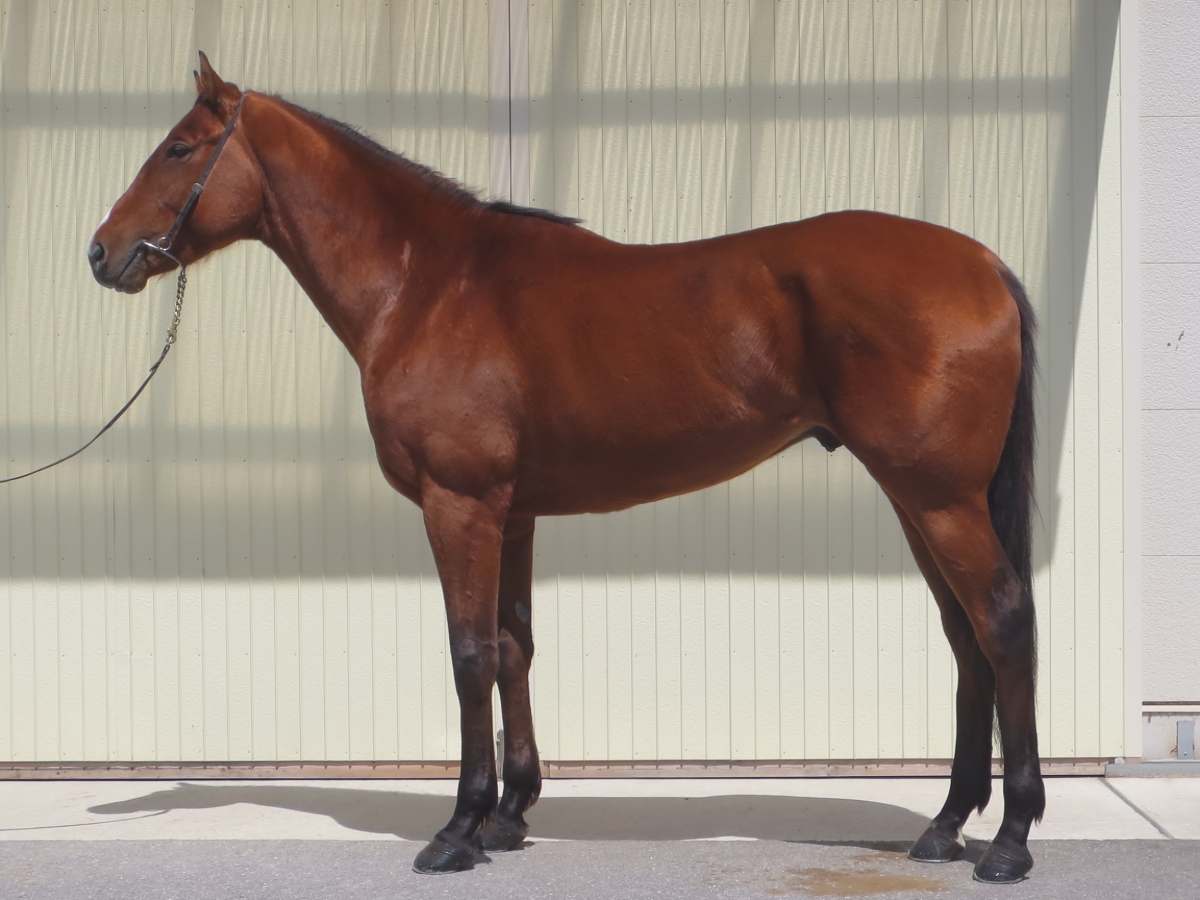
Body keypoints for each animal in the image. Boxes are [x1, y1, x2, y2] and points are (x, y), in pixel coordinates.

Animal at [89, 54, 1043, 884]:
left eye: (180, 147)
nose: (102, 252)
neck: (428, 285)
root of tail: (985, 264)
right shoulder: (512, 513)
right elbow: (516, 646)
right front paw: (510, 816)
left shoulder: (459, 505)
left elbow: (469, 653)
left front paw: (458, 830)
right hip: (919, 501)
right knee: (965, 638)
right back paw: (946, 827)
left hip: (939, 498)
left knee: (1002, 622)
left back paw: (1010, 842)